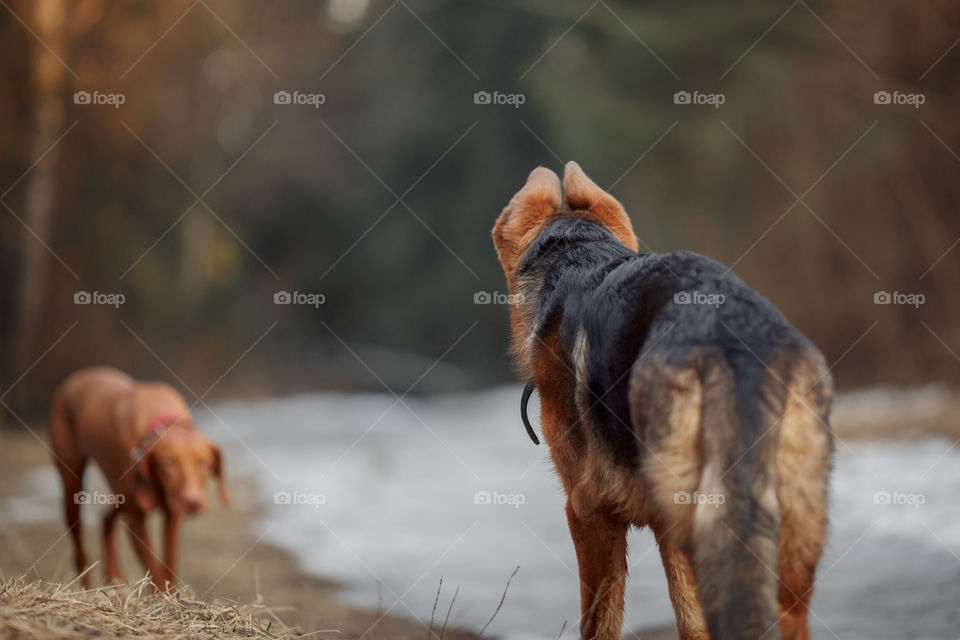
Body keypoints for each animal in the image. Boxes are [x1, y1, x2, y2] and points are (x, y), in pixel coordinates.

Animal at [49, 368, 228, 588]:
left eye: (204, 462)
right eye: (168, 463)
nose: (193, 502)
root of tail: (79, 375)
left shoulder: (173, 514)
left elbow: (168, 564)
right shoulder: (136, 520)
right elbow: (155, 570)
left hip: (119, 492)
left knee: (106, 519)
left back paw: (114, 578)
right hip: (73, 489)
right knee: (80, 549)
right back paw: (87, 588)